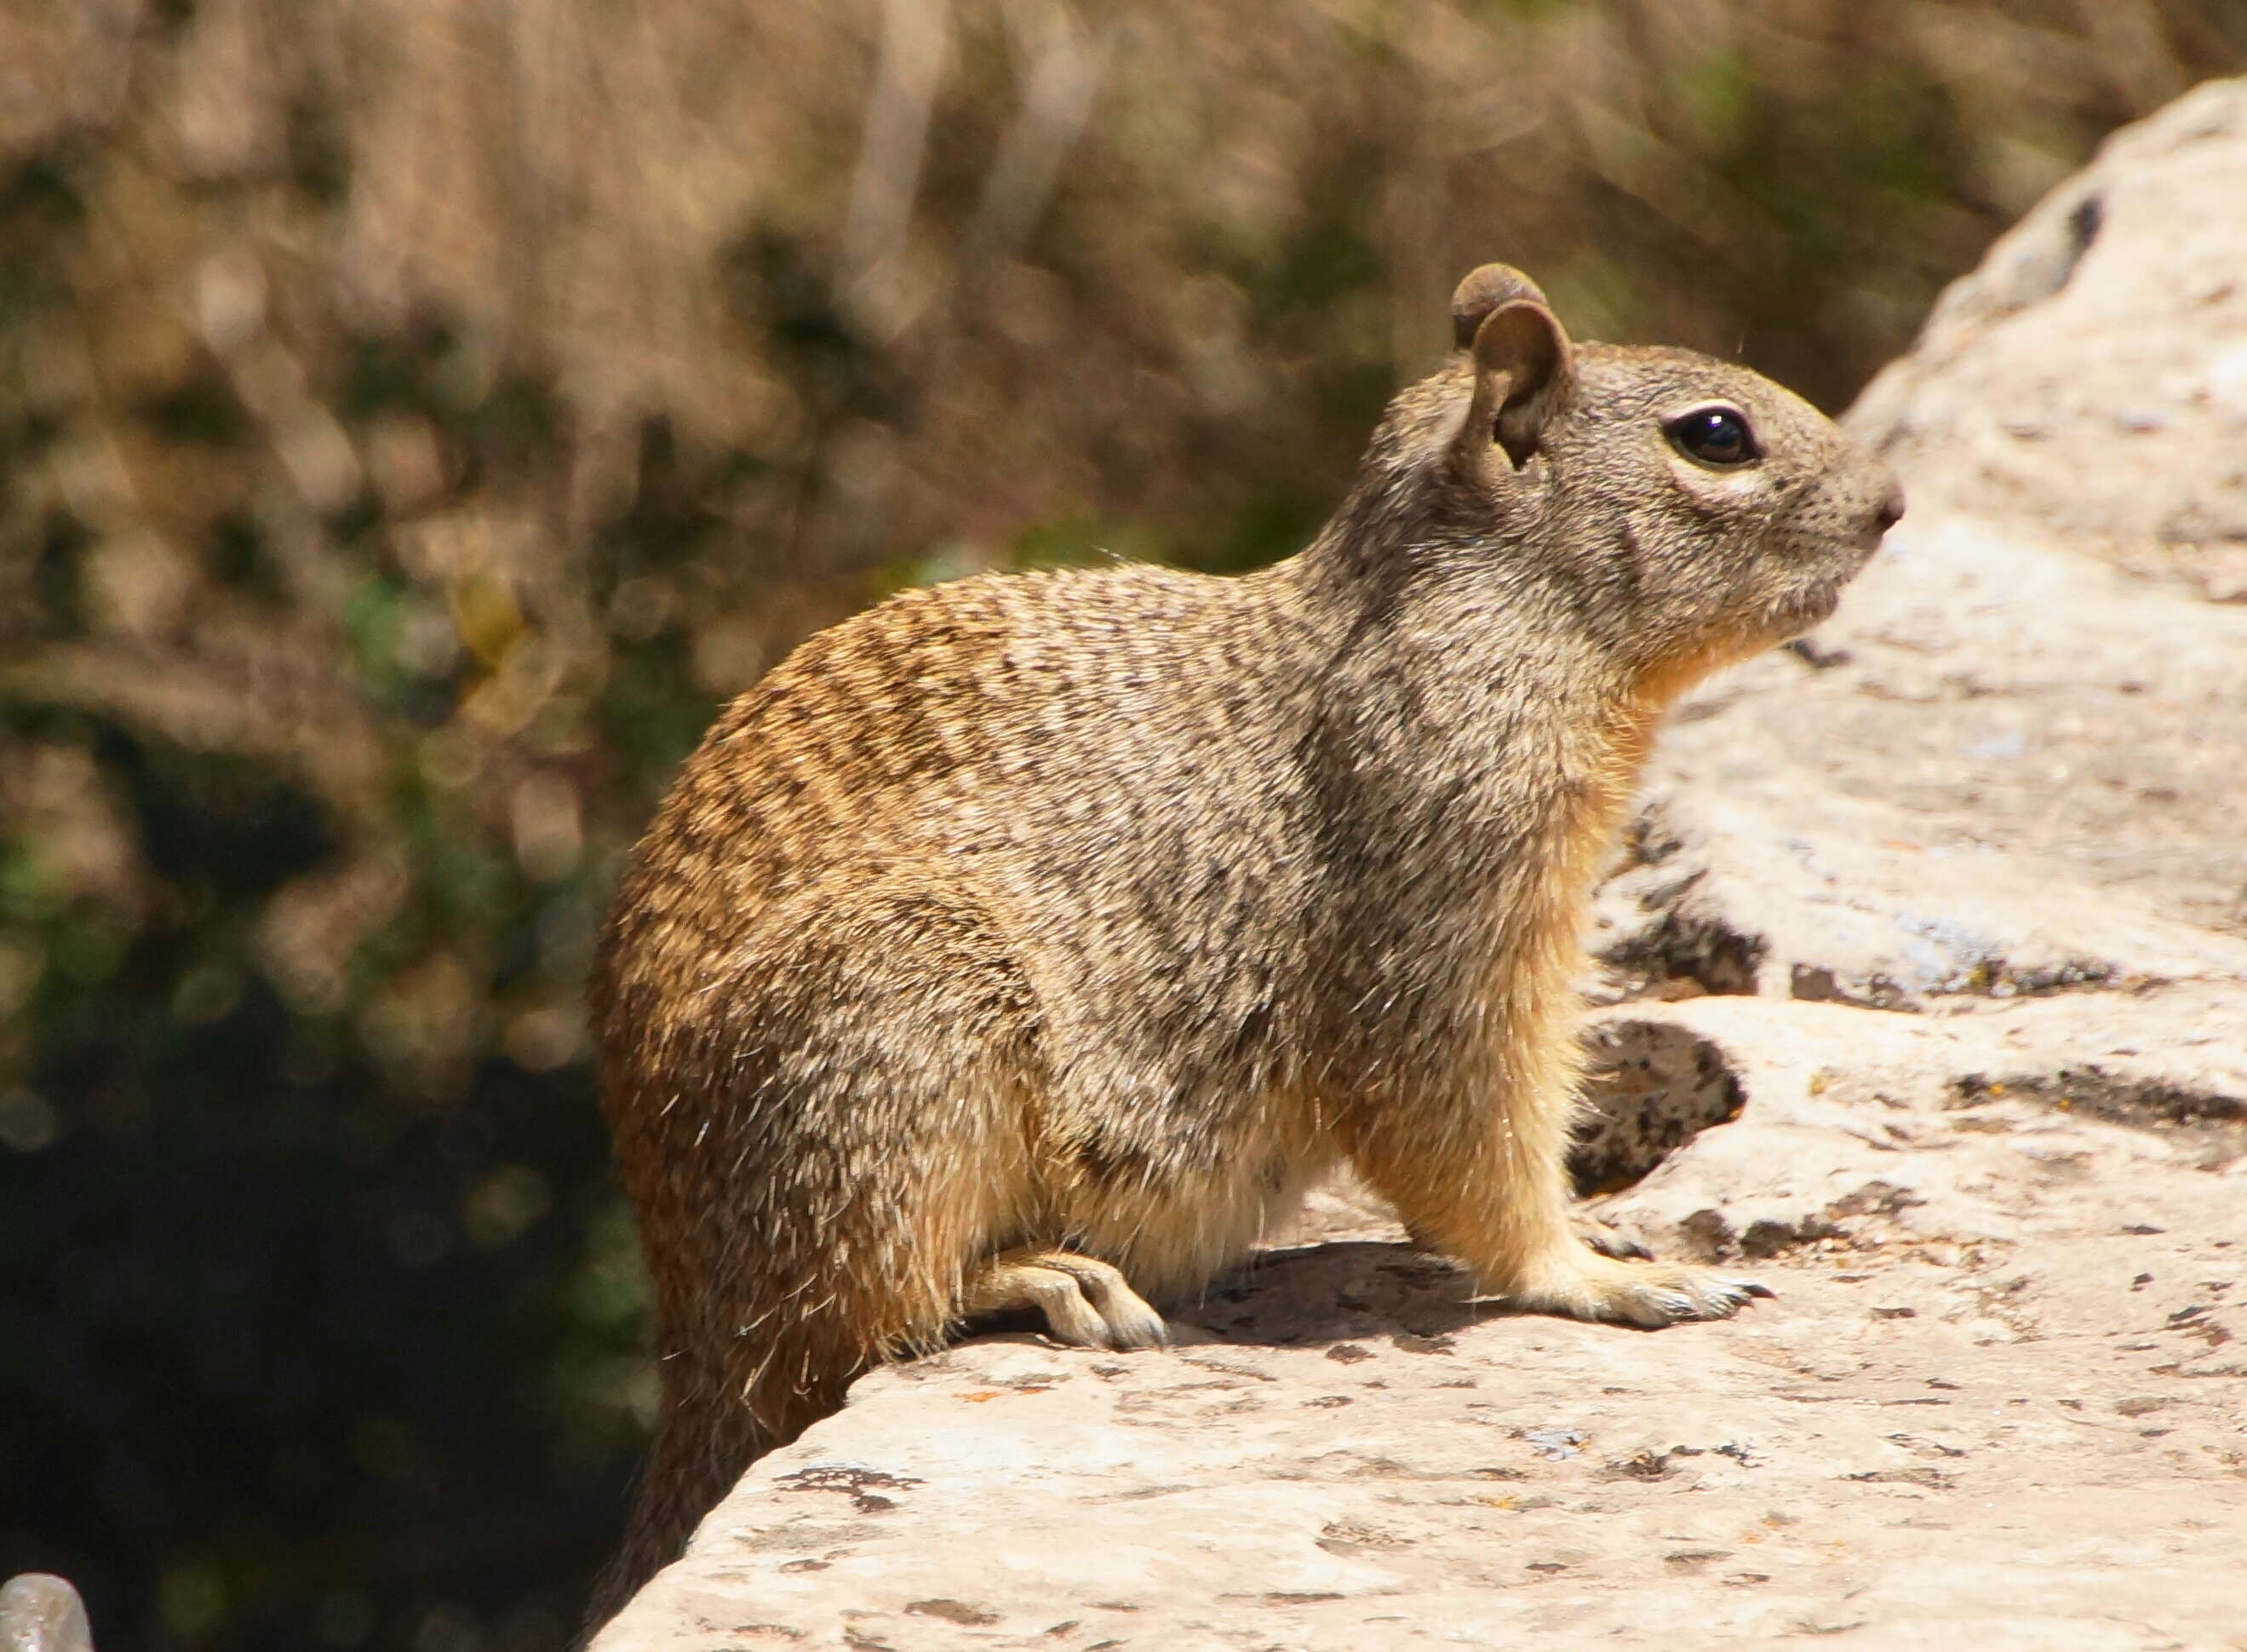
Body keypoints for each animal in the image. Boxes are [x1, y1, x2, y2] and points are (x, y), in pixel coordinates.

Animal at [579, 265, 1896, 1618]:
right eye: (1715, 435)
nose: (1890, 503)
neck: (1482, 615)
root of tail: (682, 1337)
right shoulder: (1450, 909)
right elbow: (1465, 1135)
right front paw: (1599, 1271)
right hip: (891, 1025)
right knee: (850, 1315)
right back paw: (1041, 1276)